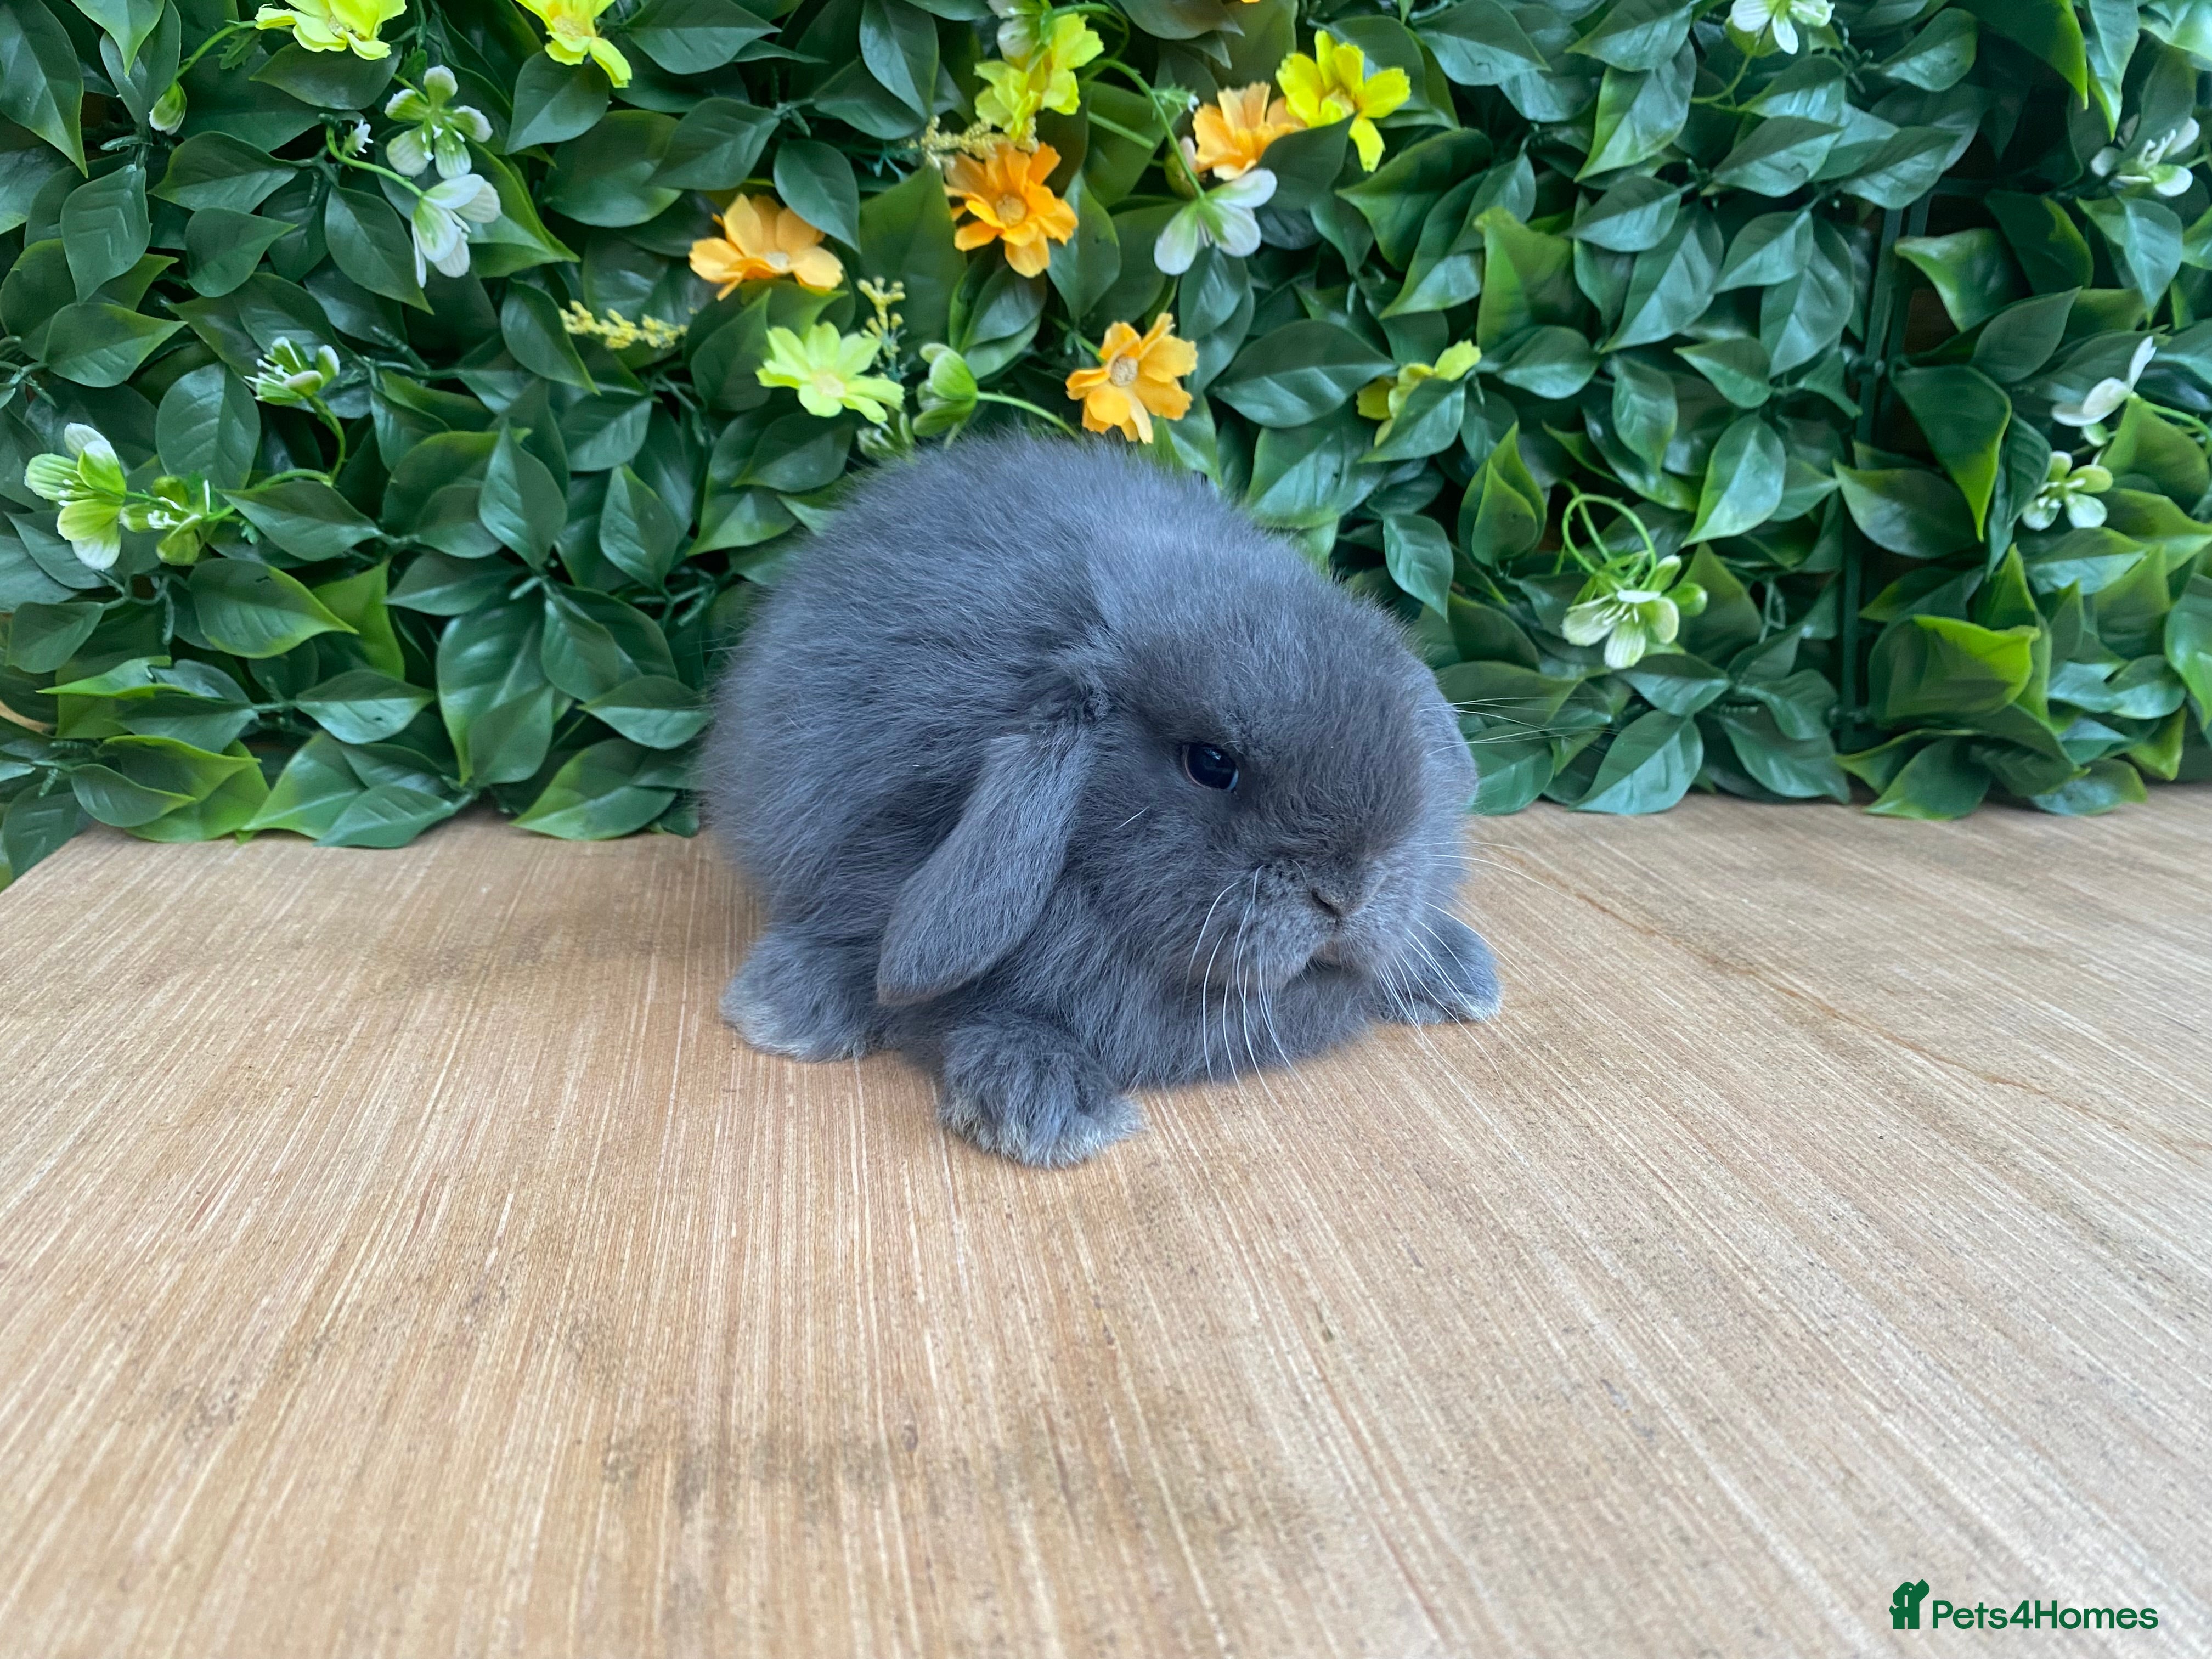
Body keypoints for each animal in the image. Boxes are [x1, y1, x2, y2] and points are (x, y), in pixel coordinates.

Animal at [702, 435, 1500, 1167]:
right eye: (1211, 764)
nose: (1347, 893)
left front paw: (1453, 970)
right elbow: (965, 1009)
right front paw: (1047, 1102)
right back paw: (793, 1006)